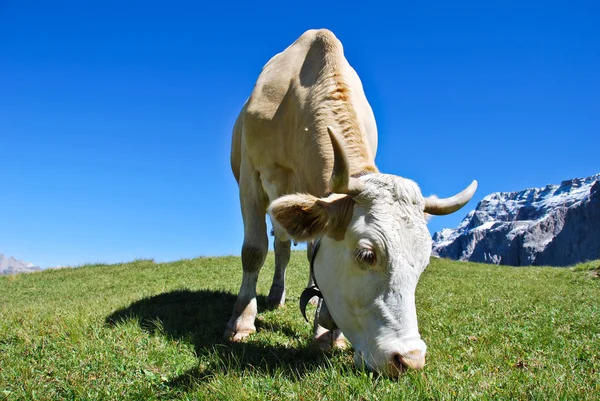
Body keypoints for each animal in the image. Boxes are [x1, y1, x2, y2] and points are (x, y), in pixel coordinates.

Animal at [227, 28, 476, 376]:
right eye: (366, 254)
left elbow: (312, 258)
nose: (409, 359)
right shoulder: (251, 175)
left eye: (424, 262)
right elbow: (253, 250)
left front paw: (325, 330)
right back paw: (275, 297)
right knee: (280, 247)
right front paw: (241, 323)